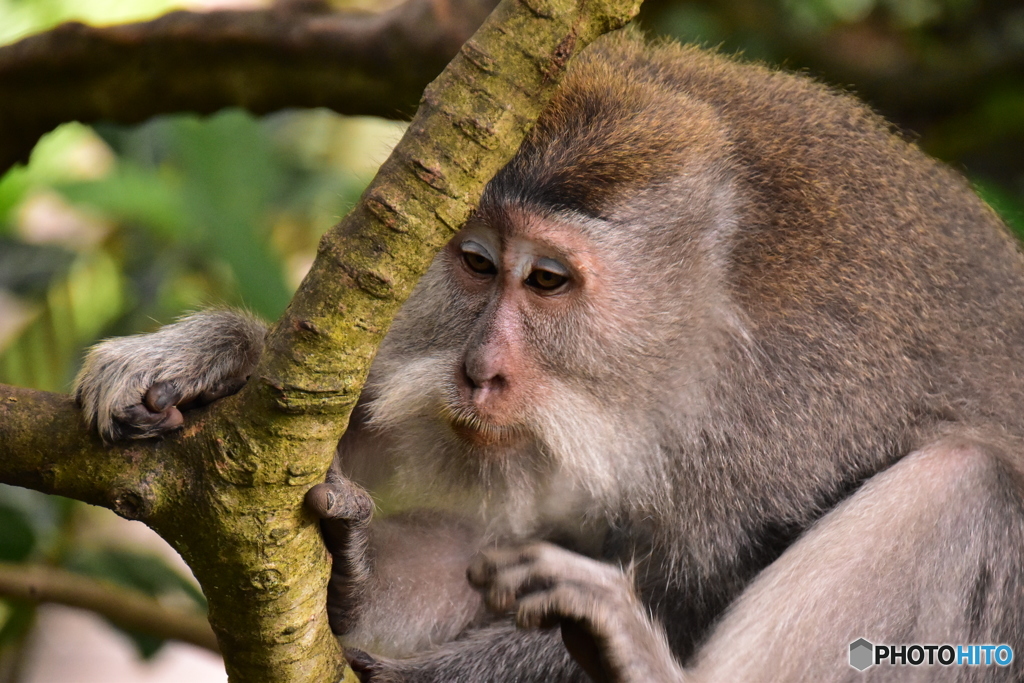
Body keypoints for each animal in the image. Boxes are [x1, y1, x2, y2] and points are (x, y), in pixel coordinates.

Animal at [75, 30, 1024, 683]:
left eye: (549, 280)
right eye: (477, 263)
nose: (480, 370)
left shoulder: (782, 419)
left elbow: (693, 590)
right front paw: (213, 360)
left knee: (976, 488)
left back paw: (639, 663)